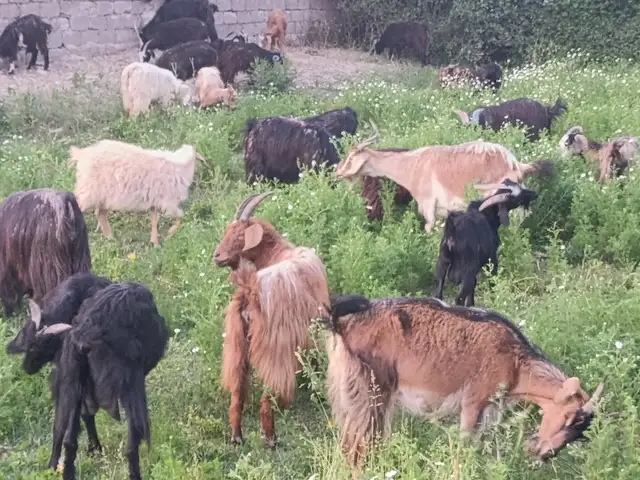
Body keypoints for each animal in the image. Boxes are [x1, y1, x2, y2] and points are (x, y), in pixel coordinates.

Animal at [15, 282, 169, 480]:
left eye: (36, 346)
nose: (26, 367)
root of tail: (88, 332)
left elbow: (77, 420)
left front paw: (94, 449)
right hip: (130, 385)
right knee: (132, 443)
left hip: (74, 379)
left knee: (68, 438)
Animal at [68, 139, 206, 247]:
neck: (180, 167)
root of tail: (81, 154)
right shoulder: (168, 203)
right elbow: (180, 217)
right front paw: (169, 234)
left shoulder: (154, 202)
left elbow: (155, 221)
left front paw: (155, 243)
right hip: (88, 191)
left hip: (104, 196)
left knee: (100, 213)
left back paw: (111, 239)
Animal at [213, 192, 331, 446]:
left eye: (239, 235)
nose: (217, 256)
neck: (280, 252)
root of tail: (250, 289)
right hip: (275, 351)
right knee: (267, 399)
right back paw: (271, 439)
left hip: (237, 347)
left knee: (237, 393)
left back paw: (237, 436)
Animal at [322, 295, 604, 473]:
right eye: (569, 418)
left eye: (581, 431)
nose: (543, 453)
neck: (516, 362)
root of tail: (340, 323)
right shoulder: (474, 402)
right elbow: (464, 447)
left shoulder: (489, 410)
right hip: (371, 393)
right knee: (357, 448)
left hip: (348, 395)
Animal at [335, 122, 554, 232]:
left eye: (351, 157)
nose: (337, 172)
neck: (413, 165)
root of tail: (516, 164)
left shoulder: (427, 207)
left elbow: (428, 229)